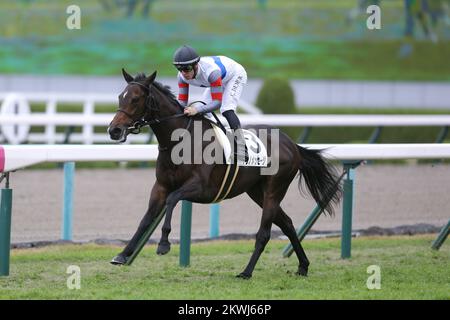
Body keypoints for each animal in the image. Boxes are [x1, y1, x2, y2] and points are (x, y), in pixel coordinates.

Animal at [107, 69, 342, 278]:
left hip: (275, 189)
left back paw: (247, 272)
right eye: (120, 96)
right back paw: (303, 266)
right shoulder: (160, 186)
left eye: (135, 99)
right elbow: (146, 219)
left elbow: (172, 200)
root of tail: (292, 144)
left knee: (264, 233)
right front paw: (123, 254)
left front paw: (164, 244)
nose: (114, 130)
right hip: (257, 192)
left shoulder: (200, 188)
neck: (180, 140)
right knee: (288, 224)